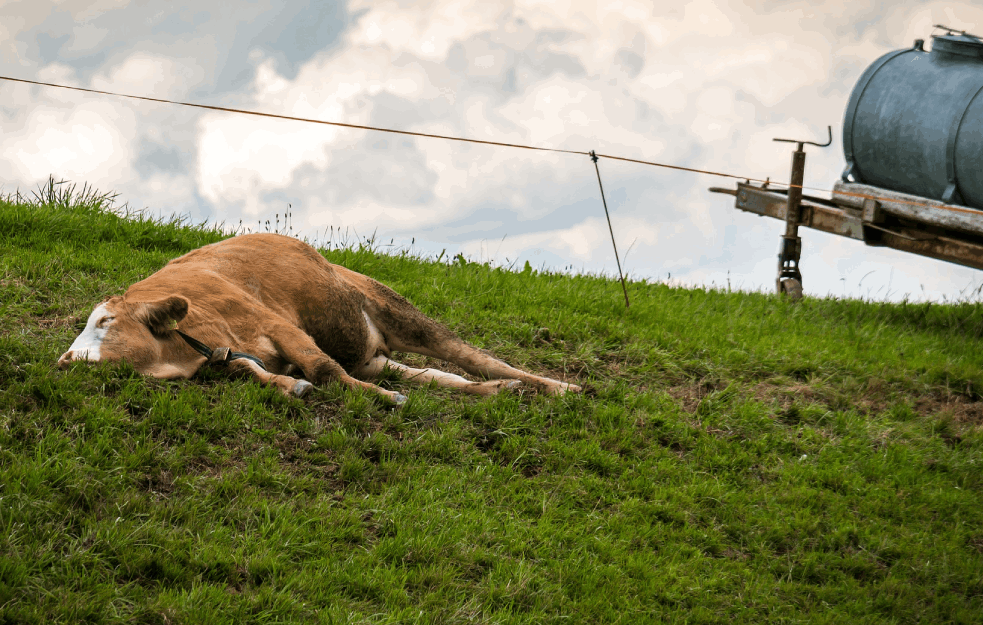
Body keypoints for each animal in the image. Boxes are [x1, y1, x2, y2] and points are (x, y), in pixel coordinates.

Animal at [57, 232, 580, 402]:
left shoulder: (278, 326)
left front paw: (383, 400)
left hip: (398, 311)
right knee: (441, 377)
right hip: (372, 354)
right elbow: (256, 372)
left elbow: (323, 368)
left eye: (104, 322)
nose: (66, 359)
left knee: (475, 357)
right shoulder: (232, 354)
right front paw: (291, 386)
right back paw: (499, 392)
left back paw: (559, 388)